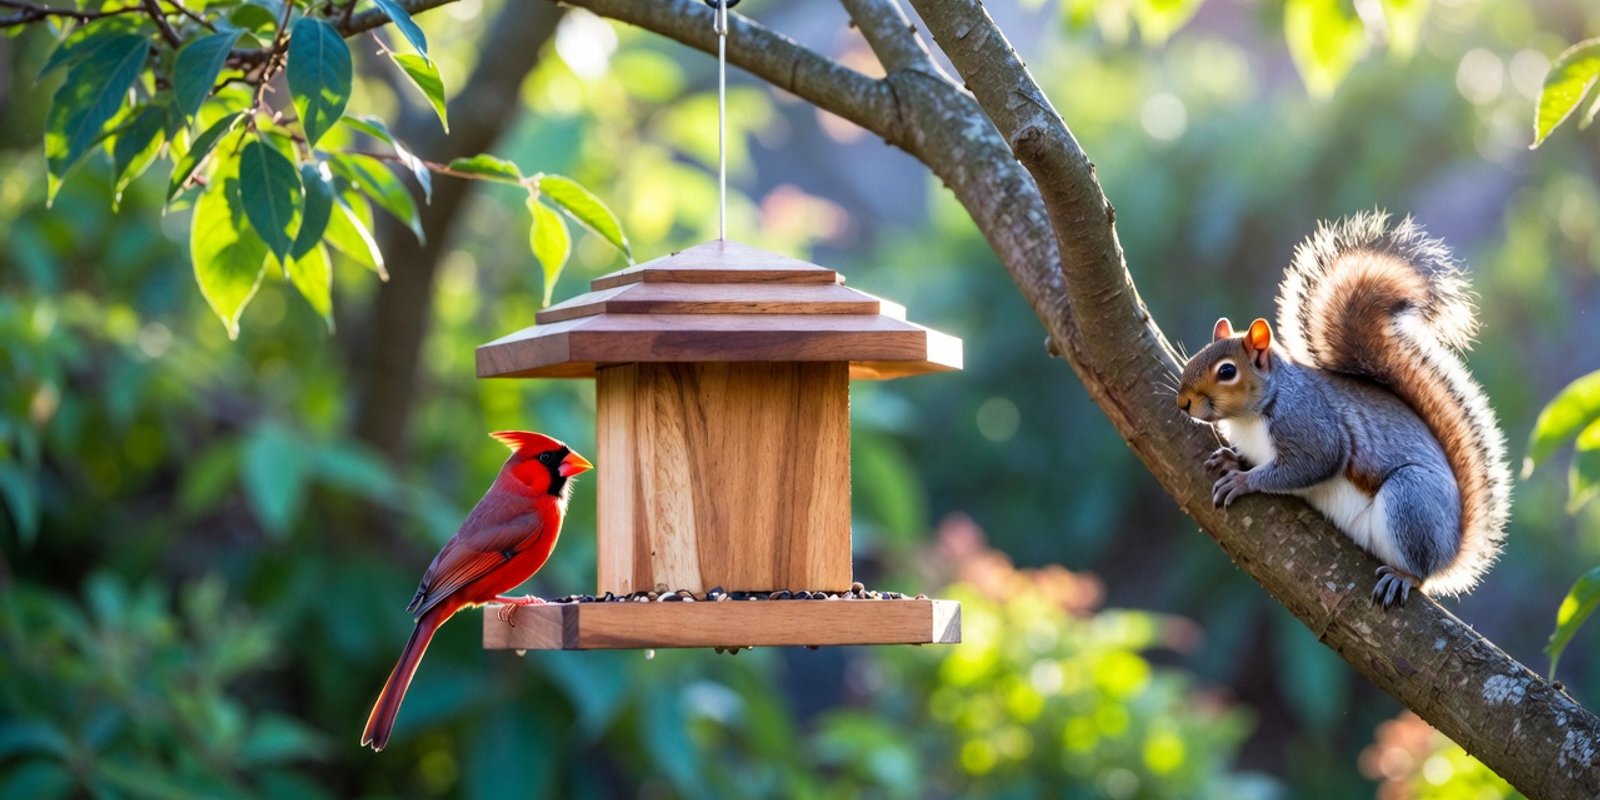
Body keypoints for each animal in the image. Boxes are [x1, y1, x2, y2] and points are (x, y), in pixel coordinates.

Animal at [1174, 211, 1511, 608]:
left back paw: (1405, 576)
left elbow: (1313, 462)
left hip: (1410, 500)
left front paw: (1244, 480)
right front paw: (1232, 458)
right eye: (1197, 354)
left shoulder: (1308, 425)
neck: (1251, 416)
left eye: (1227, 371)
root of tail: (1452, 550)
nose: (1183, 402)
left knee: (1421, 571)